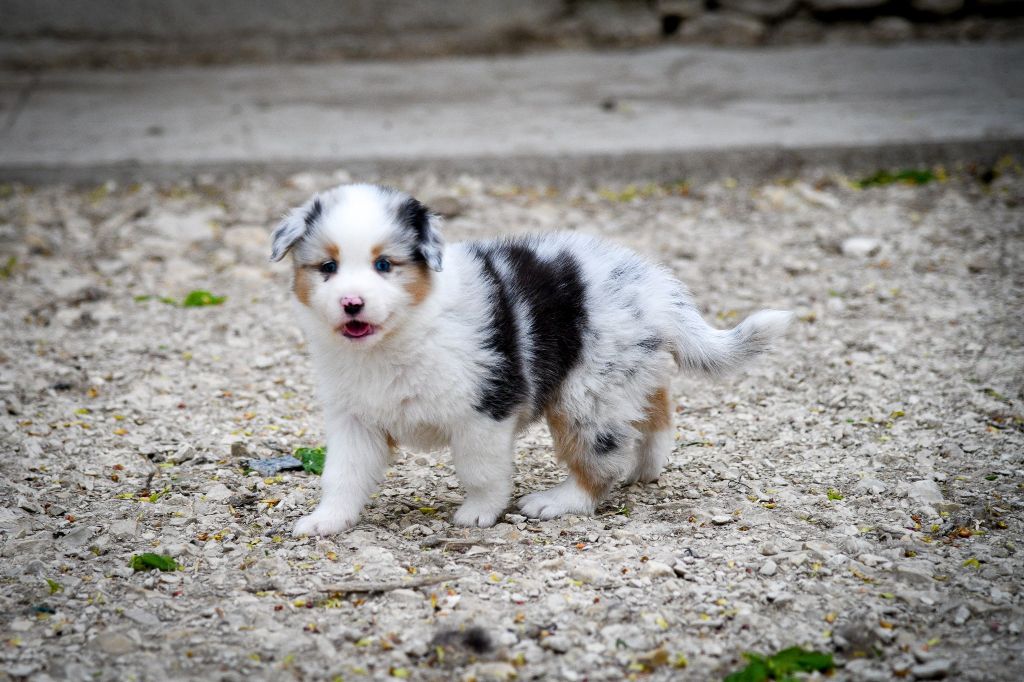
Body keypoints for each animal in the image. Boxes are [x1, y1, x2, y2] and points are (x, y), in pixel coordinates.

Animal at [270, 183, 790, 532]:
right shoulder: (354, 419)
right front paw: (325, 521)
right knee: (656, 413)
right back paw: (646, 468)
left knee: (600, 460)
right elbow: (342, 475)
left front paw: (479, 512)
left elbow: (481, 471)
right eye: (328, 267)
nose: (351, 303)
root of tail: (655, 288)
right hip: (623, 373)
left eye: (384, 265)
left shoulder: (484, 411)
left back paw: (557, 501)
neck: (401, 335)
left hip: (587, 394)